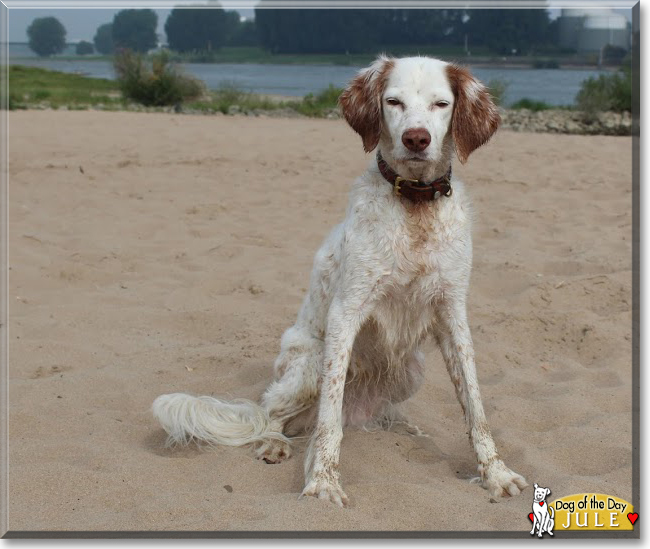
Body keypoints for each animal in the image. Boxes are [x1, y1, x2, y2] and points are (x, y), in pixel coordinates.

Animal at [152, 55, 528, 506]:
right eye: (394, 102)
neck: (414, 206)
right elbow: (328, 421)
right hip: (309, 363)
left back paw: (400, 426)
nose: (416, 139)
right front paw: (323, 482)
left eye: (441, 104)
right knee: (273, 413)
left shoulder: (453, 315)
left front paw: (495, 473)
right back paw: (274, 443)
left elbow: (476, 408)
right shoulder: (346, 313)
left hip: (410, 371)